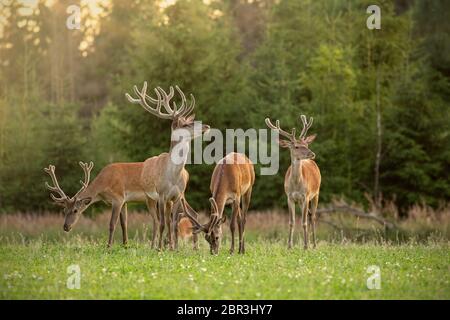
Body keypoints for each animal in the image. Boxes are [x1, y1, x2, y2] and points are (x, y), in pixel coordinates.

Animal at [125, 82, 210, 250]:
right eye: (186, 123)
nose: (206, 126)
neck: (173, 175)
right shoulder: (162, 194)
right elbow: (163, 223)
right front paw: (159, 248)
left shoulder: (176, 196)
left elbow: (174, 223)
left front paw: (174, 248)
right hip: (150, 197)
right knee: (156, 221)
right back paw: (154, 246)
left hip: (174, 198)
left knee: (175, 219)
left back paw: (172, 245)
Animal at [266, 115, 322, 250]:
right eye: (296, 146)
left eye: (306, 144)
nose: (312, 153)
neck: (296, 184)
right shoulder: (289, 197)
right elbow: (292, 222)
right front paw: (289, 246)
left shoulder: (306, 196)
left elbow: (304, 222)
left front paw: (305, 246)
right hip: (302, 201)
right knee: (308, 215)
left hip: (316, 193)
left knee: (312, 217)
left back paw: (314, 245)